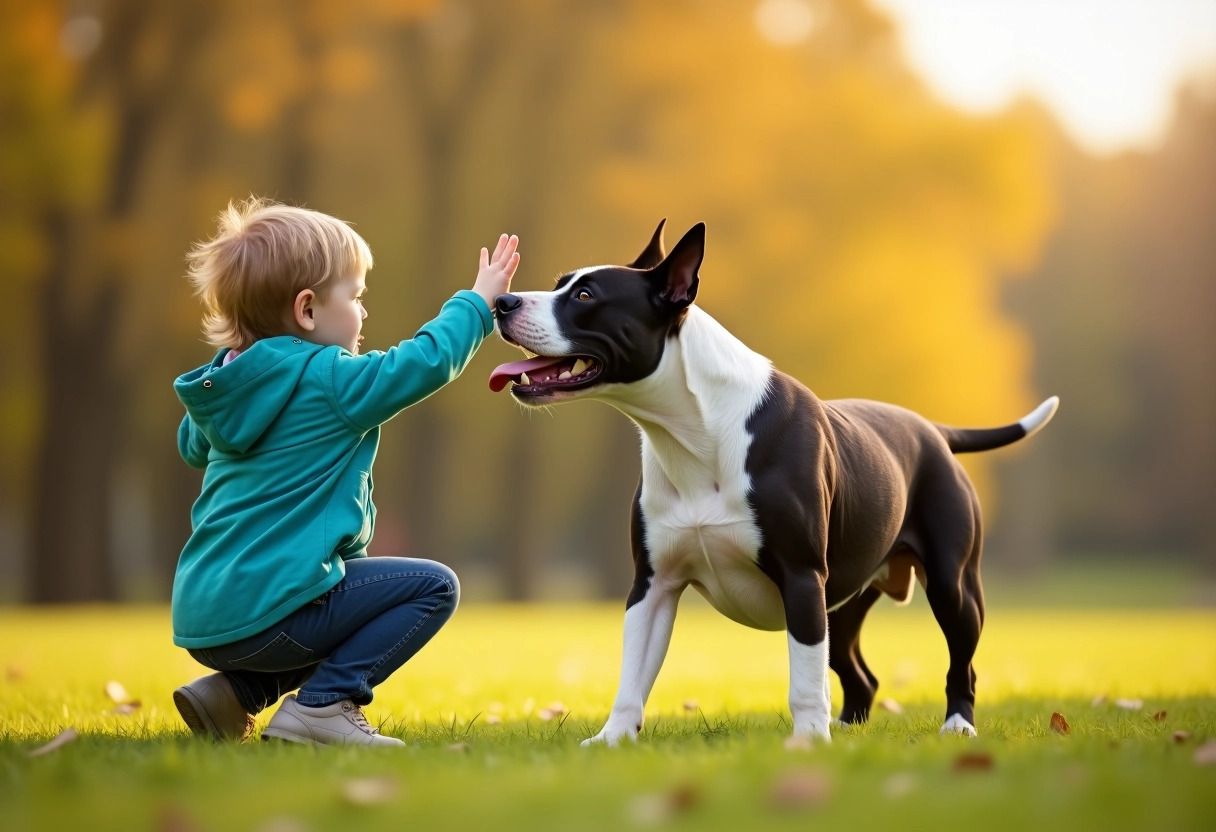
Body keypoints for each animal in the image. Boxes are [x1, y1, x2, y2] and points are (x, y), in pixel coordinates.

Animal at [488, 222, 1060, 749]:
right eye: (560, 284)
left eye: (585, 296)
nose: (502, 300)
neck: (692, 430)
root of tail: (935, 431)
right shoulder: (652, 586)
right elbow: (632, 677)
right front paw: (613, 738)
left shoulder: (801, 577)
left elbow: (804, 679)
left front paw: (807, 742)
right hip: (842, 603)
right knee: (860, 675)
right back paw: (847, 730)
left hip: (950, 586)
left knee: (961, 662)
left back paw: (956, 725)